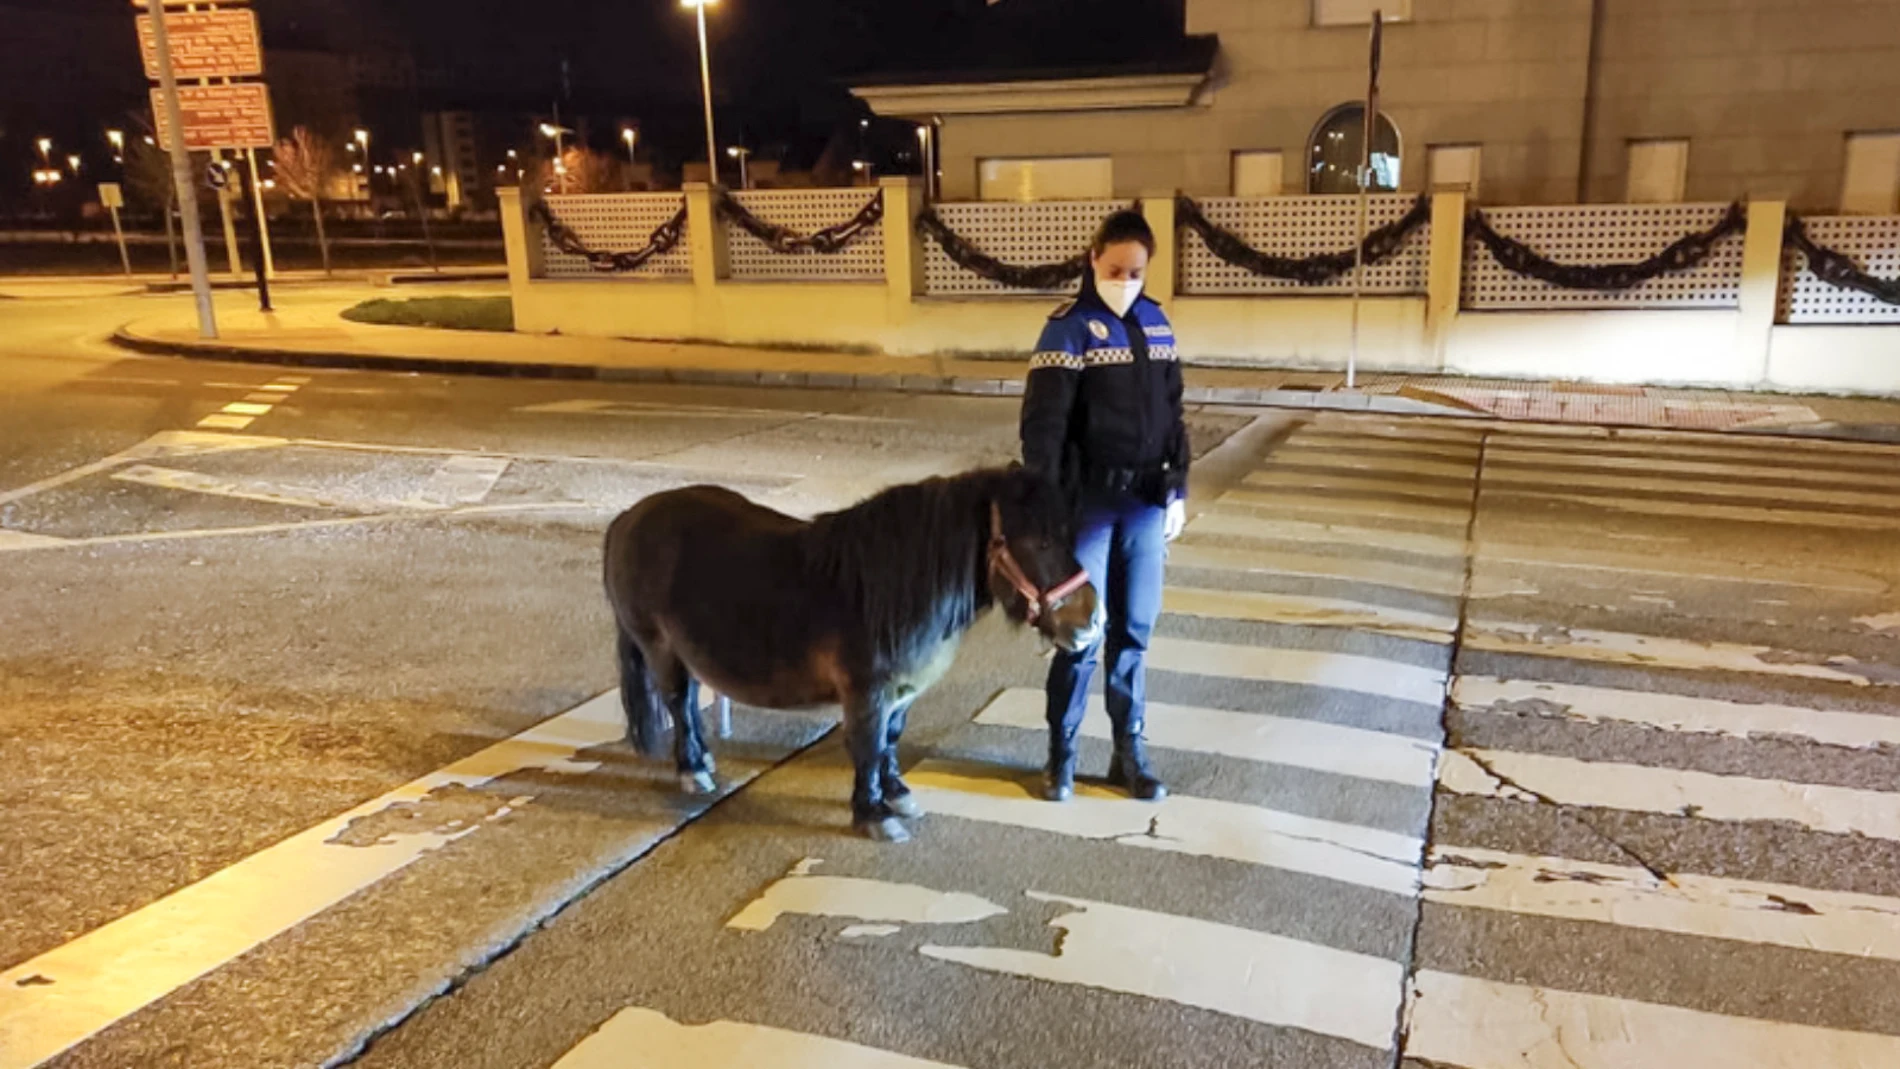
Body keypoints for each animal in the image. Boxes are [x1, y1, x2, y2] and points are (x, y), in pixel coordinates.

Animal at [600, 468, 1094, 846]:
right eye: (1041, 543)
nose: (1092, 621)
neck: (887, 590)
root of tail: (629, 517)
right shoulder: (867, 694)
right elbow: (869, 748)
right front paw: (874, 816)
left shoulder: (901, 693)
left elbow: (890, 740)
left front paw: (896, 794)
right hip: (659, 648)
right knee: (678, 704)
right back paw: (693, 771)